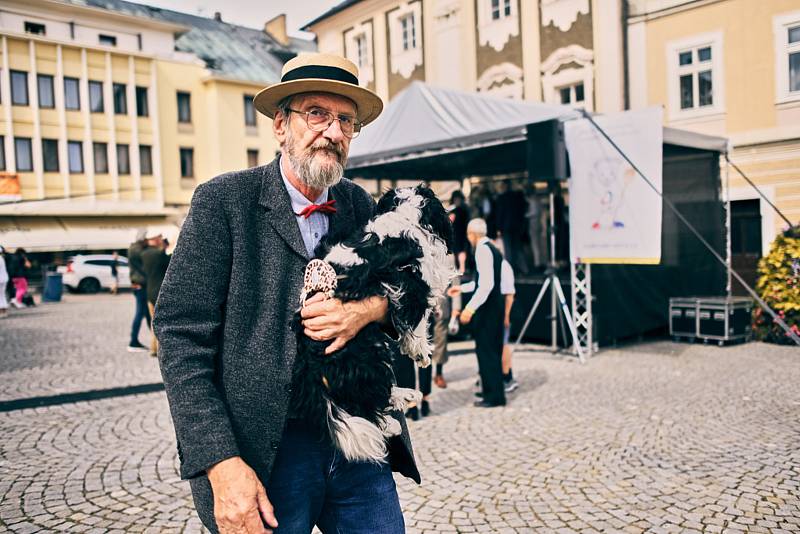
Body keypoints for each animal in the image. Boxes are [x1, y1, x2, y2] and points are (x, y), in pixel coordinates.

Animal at [290, 185, 454, 464]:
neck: (403, 218)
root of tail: (310, 366)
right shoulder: (412, 285)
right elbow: (417, 323)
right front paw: (420, 352)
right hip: (370, 351)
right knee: (368, 399)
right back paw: (395, 419)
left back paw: (404, 398)